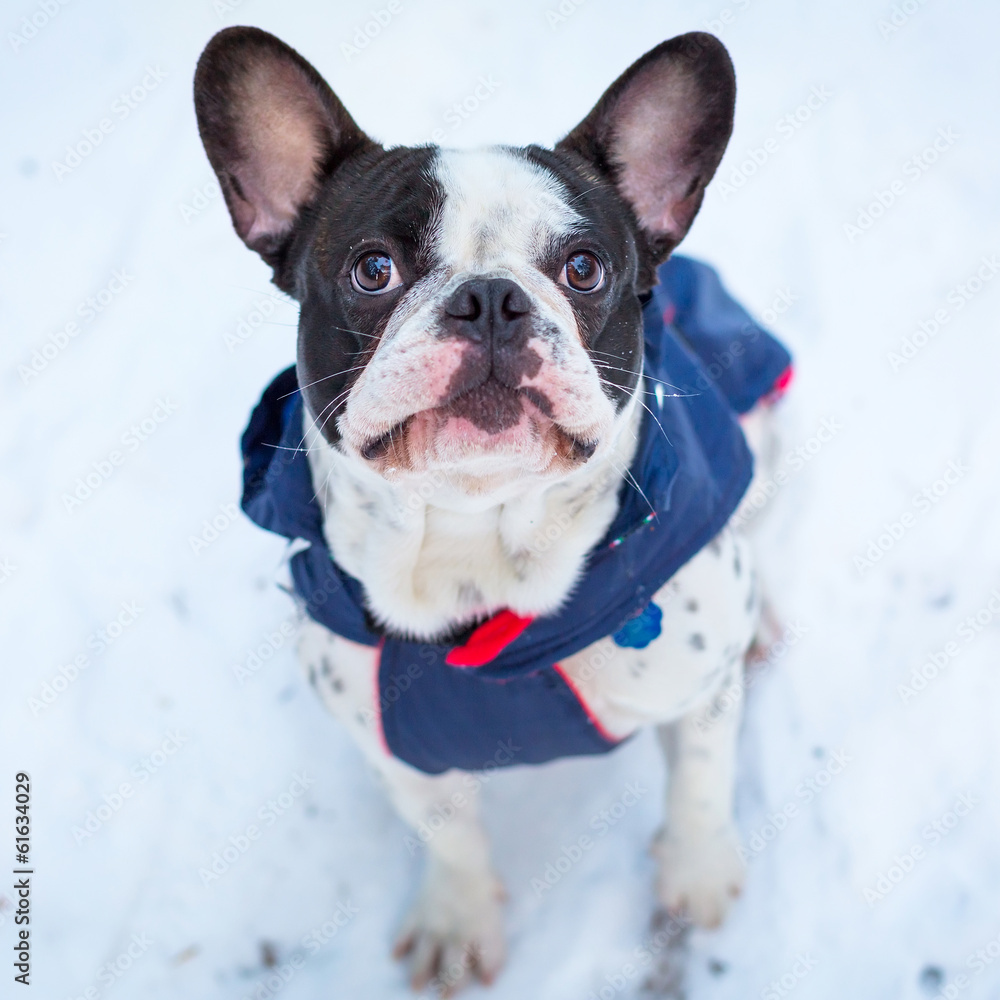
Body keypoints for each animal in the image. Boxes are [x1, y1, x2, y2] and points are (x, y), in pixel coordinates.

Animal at [193, 23, 788, 992]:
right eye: (373, 270)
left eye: (583, 269)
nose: (491, 298)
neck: (480, 542)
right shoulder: (397, 752)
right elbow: (451, 836)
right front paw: (457, 918)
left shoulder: (698, 691)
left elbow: (701, 778)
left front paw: (698, 871)